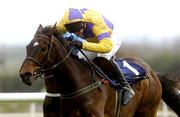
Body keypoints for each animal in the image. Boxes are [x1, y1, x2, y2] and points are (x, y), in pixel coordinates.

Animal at [19, 24, 162, 116]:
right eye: (27, 47)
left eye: (43, 48)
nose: (25, 74)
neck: (78, 84)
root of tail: (151, 72)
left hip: (147, 110)